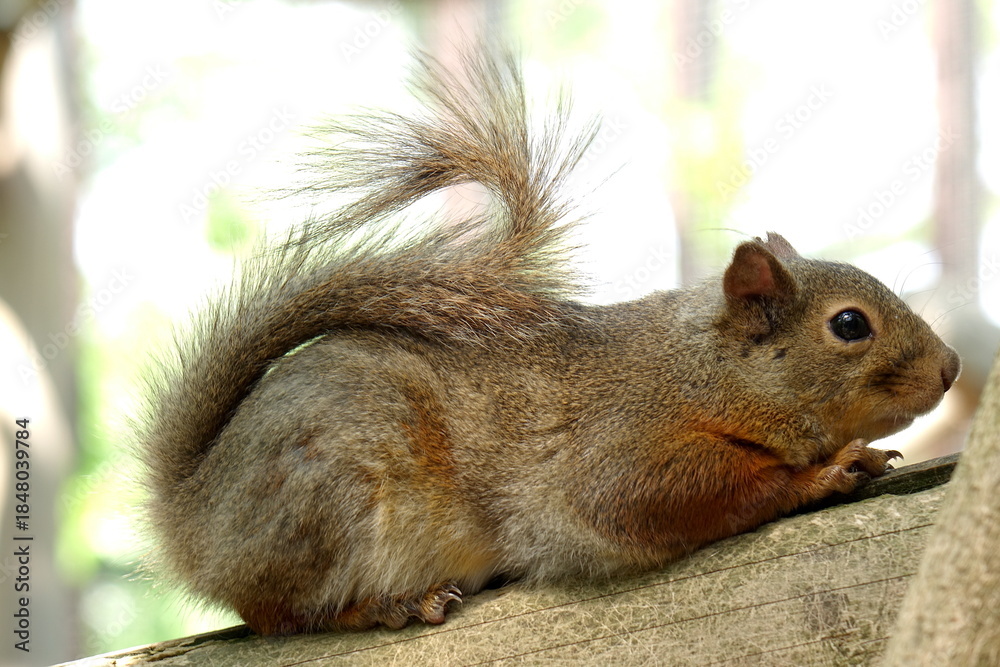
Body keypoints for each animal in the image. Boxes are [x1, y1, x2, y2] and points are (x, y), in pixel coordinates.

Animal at [138, 47, 961, 636]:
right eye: (850, 325)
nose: (952, 368)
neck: (706, 373)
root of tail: (194, 516)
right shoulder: (623, 449)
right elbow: (672, 496)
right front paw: (826, 471)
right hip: (334, 490)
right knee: (275, 614)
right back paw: (387, 606)